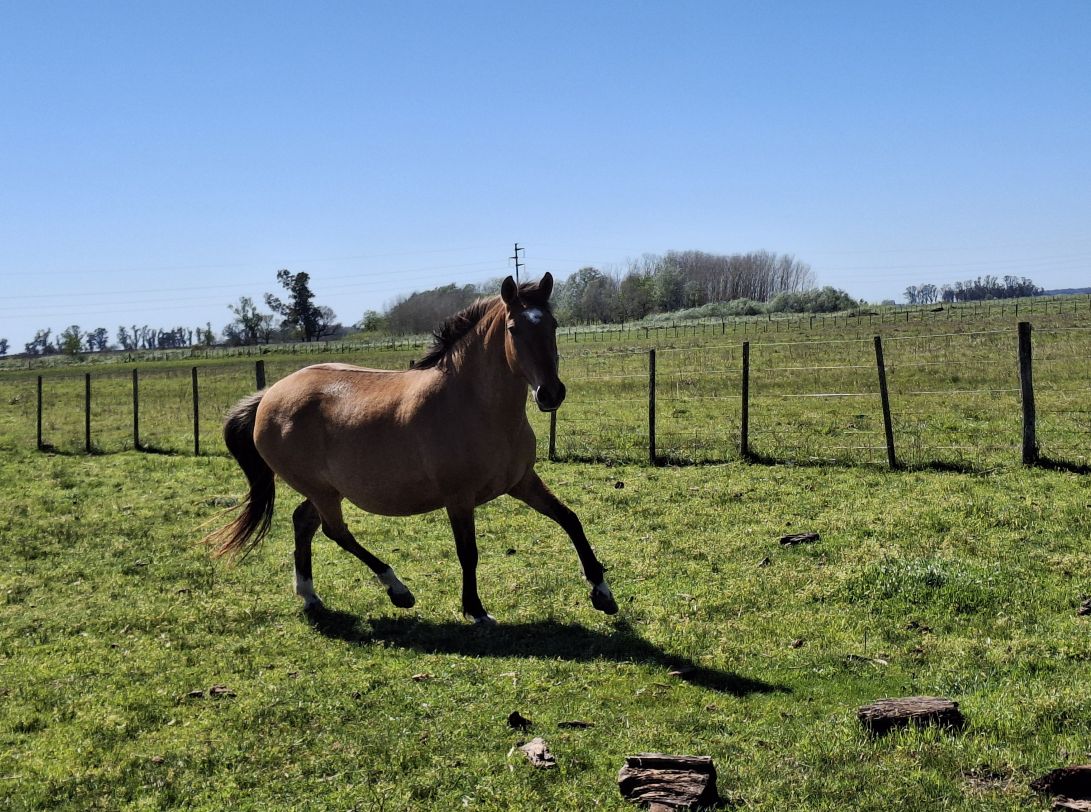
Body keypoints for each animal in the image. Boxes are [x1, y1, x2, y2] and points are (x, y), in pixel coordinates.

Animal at [206, 273, 618, 624]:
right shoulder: (458, 498)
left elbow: (570, 519)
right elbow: (468, 552)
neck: (473, 404)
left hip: (325, 490)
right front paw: (475, 610)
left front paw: (602, 593)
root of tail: (268, 396)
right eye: (514, 329)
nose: (551, 394)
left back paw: (310, 596)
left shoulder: (522, 482)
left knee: (303, 523)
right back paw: (398, 590)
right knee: (335, 533)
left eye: (552, 325)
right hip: (322, 490)